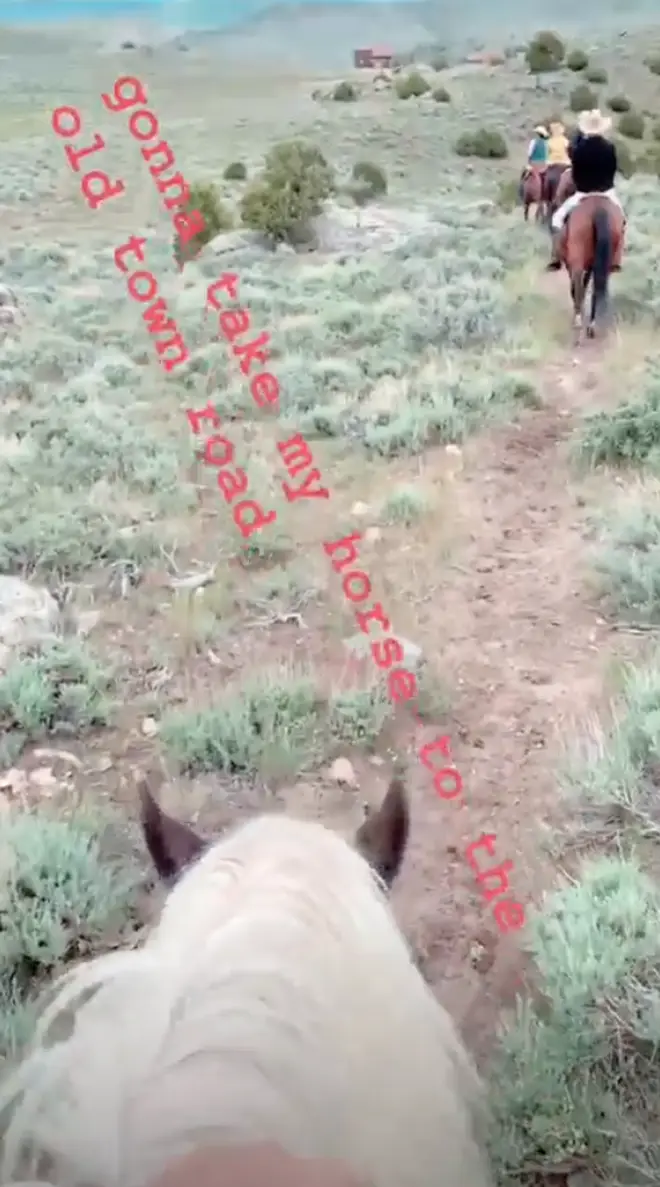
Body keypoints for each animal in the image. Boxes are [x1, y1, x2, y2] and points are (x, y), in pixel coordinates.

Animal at [562, 194, 622, 341]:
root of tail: (599, 209)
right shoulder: (591, 265)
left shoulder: (573, 264)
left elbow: (576, 286)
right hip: (605, 263)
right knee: (598, 289)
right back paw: (592, 326)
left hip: (578, 259)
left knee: (579, 286)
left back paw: (578, 324)